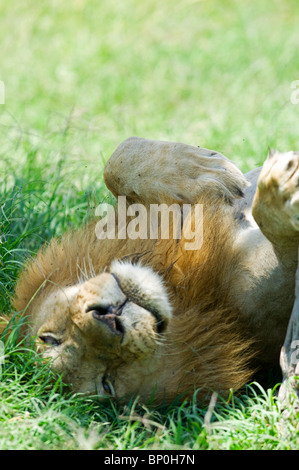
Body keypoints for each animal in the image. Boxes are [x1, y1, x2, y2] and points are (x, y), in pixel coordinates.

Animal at [5, 137, 299, 404]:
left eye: (49, 338)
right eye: (107, 383)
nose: (108, 318)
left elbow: (118, 157)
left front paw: (205, 169)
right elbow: (276, 230)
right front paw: (282, 188)